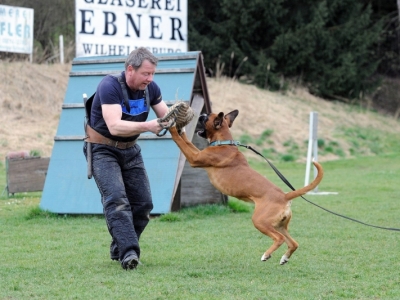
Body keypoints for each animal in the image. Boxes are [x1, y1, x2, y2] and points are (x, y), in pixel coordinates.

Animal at [170, 109, 324, 264]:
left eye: (206, 118)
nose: (201, 115)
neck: (223, 142)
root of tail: (285, 196)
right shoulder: (196, 154)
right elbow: (187, 141)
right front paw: (182, 130)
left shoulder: (194, 158)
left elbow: (181, 142)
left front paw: (172, 127)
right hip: (279, 225)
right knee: (293, 243)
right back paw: (284, 258)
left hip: (260, 221)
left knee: (279, 239)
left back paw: (266, 255)